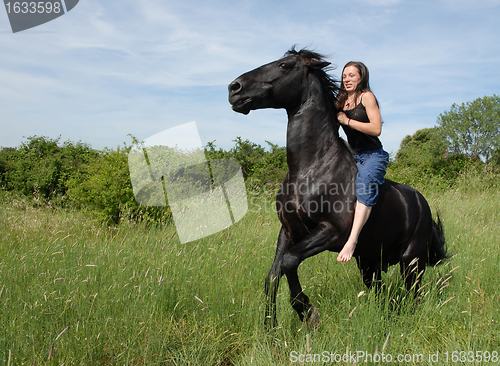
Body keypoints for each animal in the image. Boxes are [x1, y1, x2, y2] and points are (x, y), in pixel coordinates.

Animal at [228, 48, 446, 328]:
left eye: (285, 65)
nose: (234, 88)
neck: (310, 169)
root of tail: (422, 203)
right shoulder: (288, 232)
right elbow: (272, 277)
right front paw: (270, 328)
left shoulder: (332, 232)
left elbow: (289, 262)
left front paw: (308, 313)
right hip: (370, 262)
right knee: (382, 292)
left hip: (411, 260)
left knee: (414, 293)